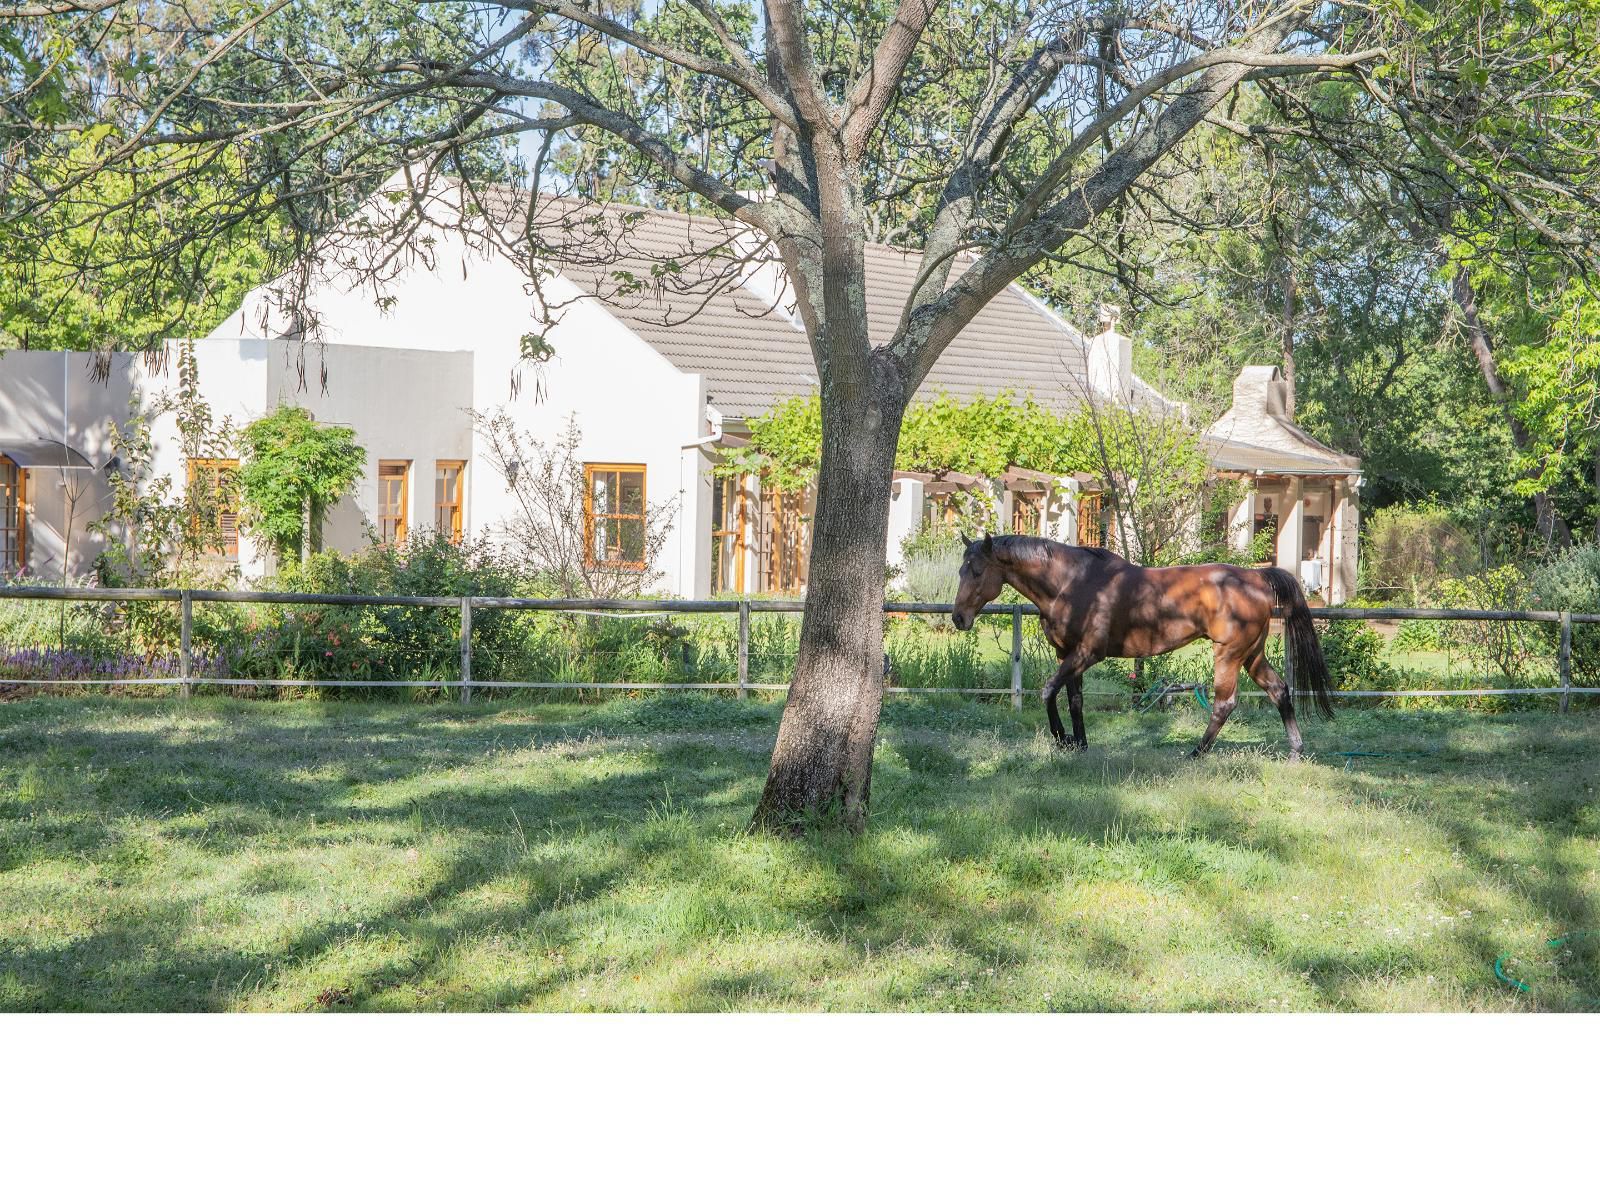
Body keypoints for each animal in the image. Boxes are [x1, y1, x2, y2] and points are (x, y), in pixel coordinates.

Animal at [947, 534, 1337, 761]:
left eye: (977, 571)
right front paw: (1079, 743)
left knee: (1225, 704)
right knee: (1279, 690)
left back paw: (1195, 753)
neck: (1072, 584)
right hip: (1252, 655)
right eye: (961, 570)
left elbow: (1047, 691)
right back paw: (1295, 752)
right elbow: (1074, 699)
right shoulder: (1067, 655)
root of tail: (1256, 575)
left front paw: (1061, 739)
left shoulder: (1087, 654)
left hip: (1228, 654)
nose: (959, 618)